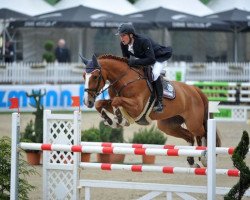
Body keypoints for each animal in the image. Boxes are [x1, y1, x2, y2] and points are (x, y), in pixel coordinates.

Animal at [82, 53, 221, 167]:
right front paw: (109, 120)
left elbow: (116, 101)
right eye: (84, 76)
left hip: (193, 123)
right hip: (168, 125)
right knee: (190, 136)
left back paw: (204, 158)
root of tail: (195, 90)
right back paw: (191, 161)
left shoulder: (136, 107)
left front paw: (119, 119)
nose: (87, 102)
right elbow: (100, 103)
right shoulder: (117, 104)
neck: (124, 79)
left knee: (202, 133)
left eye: (95, 76)